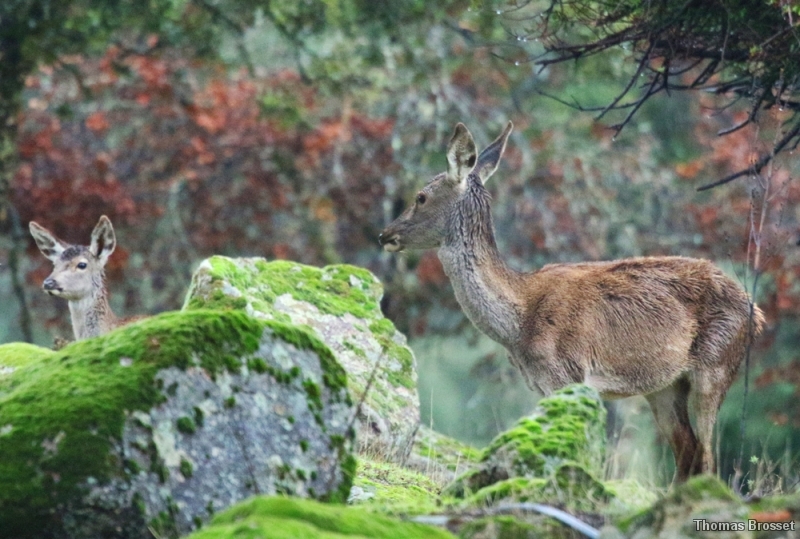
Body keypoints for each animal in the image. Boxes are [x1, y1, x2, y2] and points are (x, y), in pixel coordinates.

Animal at [378, 121, 764, 480]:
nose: (385, 234)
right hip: (666, 386)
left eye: (421, 196)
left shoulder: (567, 373)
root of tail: (756, 313)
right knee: (688, 451)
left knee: (708, 458)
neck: (519, 321)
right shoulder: (544, 384)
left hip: (715, 367)